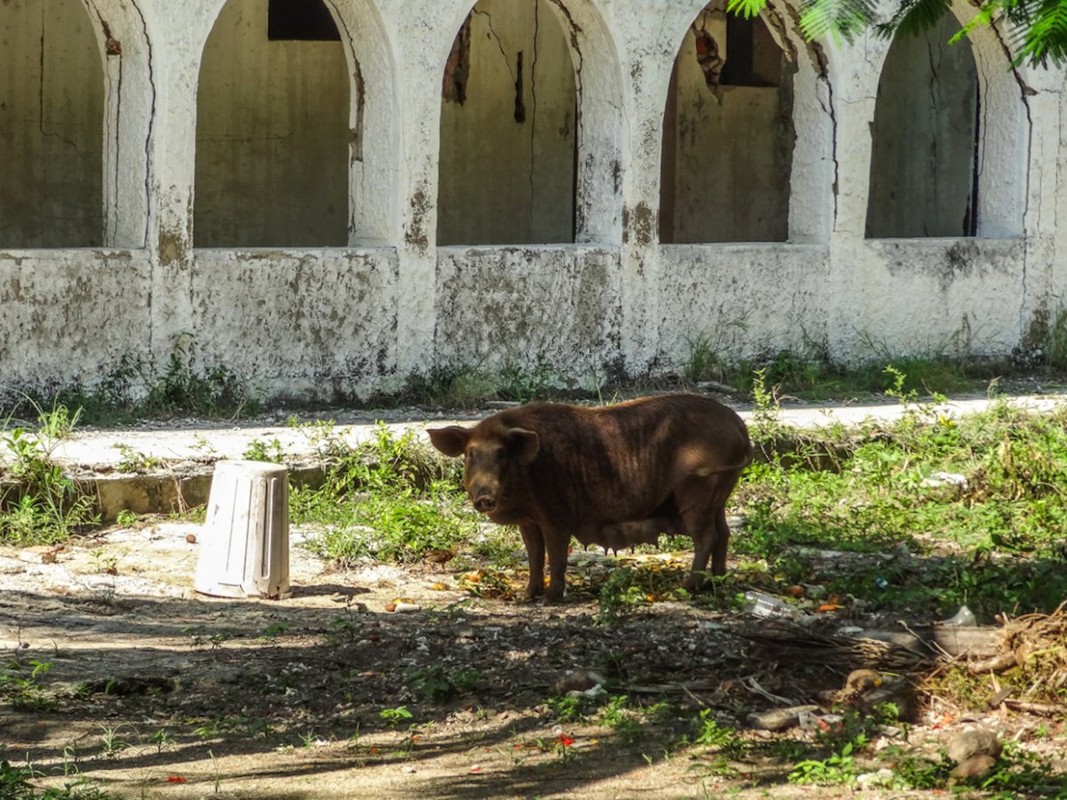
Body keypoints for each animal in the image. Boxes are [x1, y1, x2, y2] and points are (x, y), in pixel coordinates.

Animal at [424, 394, 751, 601]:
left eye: (502, 454)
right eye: (470, 454)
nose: (484, 497)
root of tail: (739, 426)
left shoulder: (557, 516)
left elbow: (556, 557)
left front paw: (550, 599)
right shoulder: (529, 522)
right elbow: (534, 556)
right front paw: (526, 597)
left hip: (699, 492)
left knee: (707, 536)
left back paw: (688, 587)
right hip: (719, 496)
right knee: (724, 534)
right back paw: (717, 582)